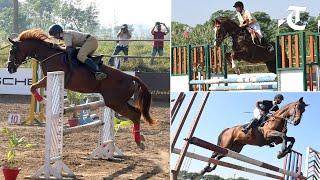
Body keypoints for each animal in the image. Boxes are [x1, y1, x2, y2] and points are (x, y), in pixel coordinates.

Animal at [6, 28, 156, 149]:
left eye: (12, 51)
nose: (10, 68)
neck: (49, 55)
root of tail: (131, 77)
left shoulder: (50, 78)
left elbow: (33, 87)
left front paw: (43, 100)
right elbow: (33, 87)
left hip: (115, 102)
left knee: (135, 115)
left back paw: (139, 142)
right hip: (118, 102)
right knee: (137, 113)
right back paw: (140, 138)